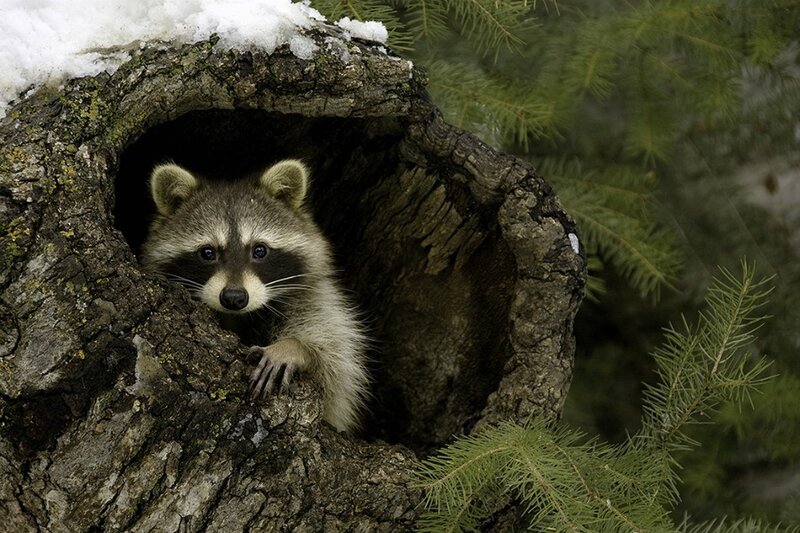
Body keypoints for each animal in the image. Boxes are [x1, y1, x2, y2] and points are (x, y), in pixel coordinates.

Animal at [141, 159, 369, 432]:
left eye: (259, 250)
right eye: (207, 253)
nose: (234, 298)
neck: (238, 316)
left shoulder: (316, 297)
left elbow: (337, 368)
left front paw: (295, 346)